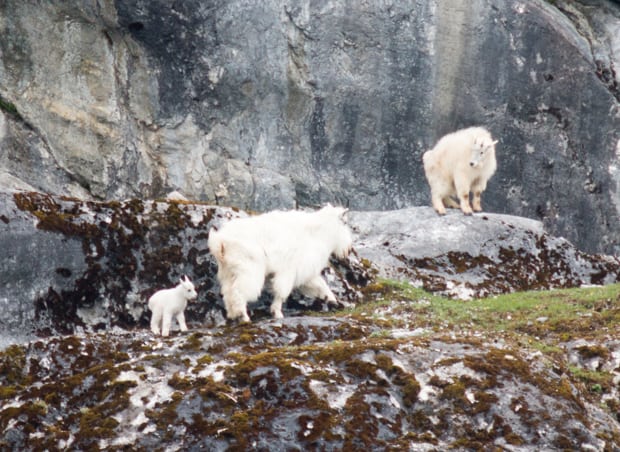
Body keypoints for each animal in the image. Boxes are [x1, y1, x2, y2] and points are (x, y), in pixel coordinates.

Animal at [209, 205, 352, 322]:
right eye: (345, 223)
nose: (349, 250)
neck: (317, 233)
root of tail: (220, 242)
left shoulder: (303, 272)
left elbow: (320, 285)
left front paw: (333, 301)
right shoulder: (289, 270)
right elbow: (282, 291)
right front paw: (277, 313)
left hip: (228, 271)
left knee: (228, 293)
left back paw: (233, 315)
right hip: (248, 269)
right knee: (239, 292)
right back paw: (244, 317)